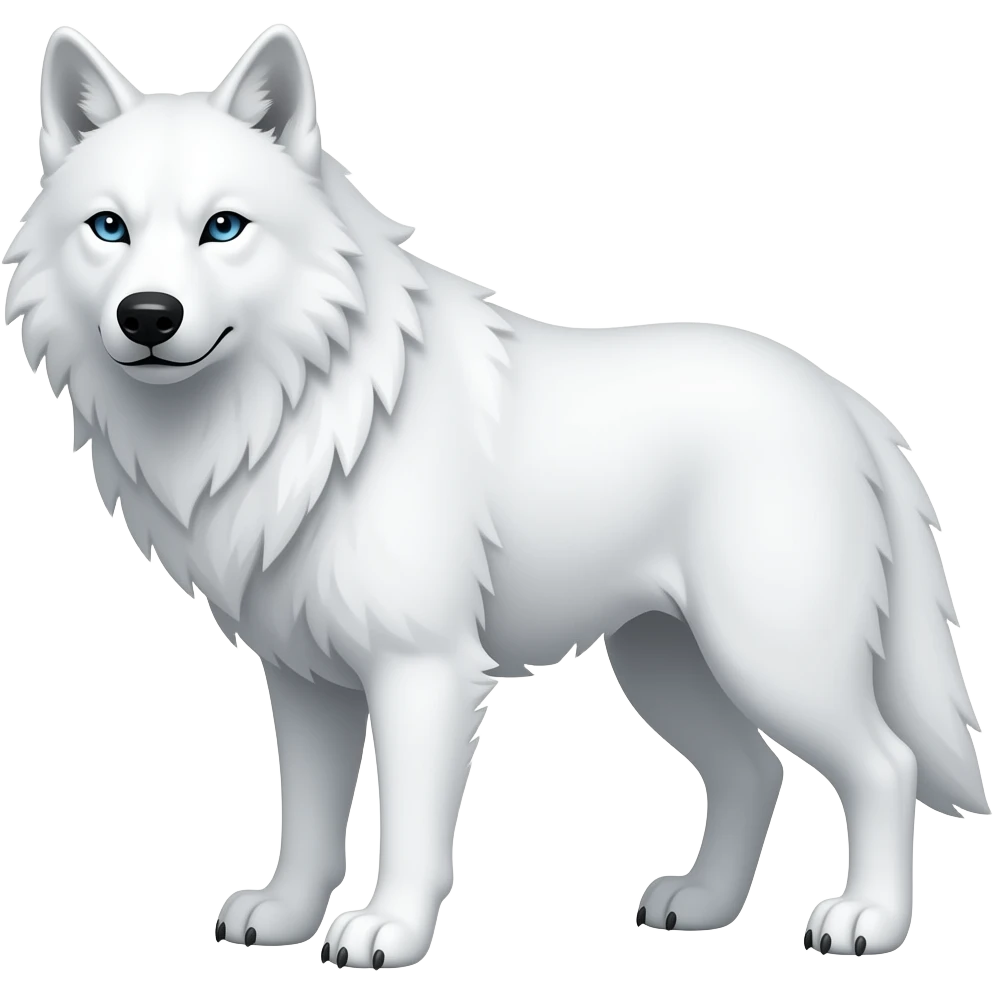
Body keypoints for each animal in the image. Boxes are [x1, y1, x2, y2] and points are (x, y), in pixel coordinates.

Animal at [4, 23, 987, 970]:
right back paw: (702, 905)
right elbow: (310, 821)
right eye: (108, 227)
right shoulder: (305, 678)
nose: (148, 315)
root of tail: (845, 399)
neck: (308, 411)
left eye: (223, 227)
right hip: (665, 665)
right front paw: (284, 917)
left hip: (770, 658)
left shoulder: (422, 671)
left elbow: (406, 829)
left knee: (883, 763)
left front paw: (384, 933)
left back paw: (866, 921)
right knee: (755, 770)